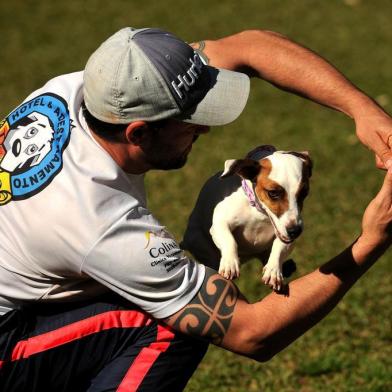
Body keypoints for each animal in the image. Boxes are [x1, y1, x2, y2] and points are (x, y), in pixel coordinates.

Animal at [181, 145, 312, 290]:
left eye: (304, 192)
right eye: (273, 193)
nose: (295, 231)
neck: (259, 213)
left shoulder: (286, 236)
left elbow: (280, 247)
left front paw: (274, 269)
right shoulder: (220, 222)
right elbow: (229, 239)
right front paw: (230, 263)